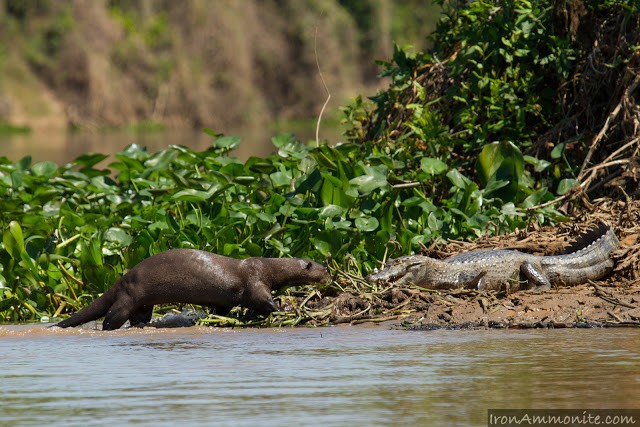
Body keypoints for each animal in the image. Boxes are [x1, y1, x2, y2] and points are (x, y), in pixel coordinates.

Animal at [52, 251, 328, 332]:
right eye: (323, 269)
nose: (329, 276)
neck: (268, 268)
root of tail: (121, 279)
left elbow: (223, 307)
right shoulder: (256, 282)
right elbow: (262, 301)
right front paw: (280, 309)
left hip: (143, 302)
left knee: (140, 316)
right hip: (128, 297)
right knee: (111, 318)